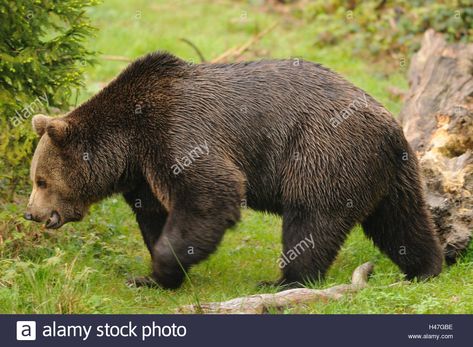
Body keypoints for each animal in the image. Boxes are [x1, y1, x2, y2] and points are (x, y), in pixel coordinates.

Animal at [24, 51, 440, 290]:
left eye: (40, 180)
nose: (31, 213)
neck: (130, 141)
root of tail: (391, 125)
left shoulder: (179, 134)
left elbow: (211, 193)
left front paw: (161, 266)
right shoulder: (144, 174)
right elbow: (156, 214)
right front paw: (153, 277)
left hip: (324, 153)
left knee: (311, 219)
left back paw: (285, 281)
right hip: (392, 173)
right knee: (401, 221)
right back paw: (424, 268)